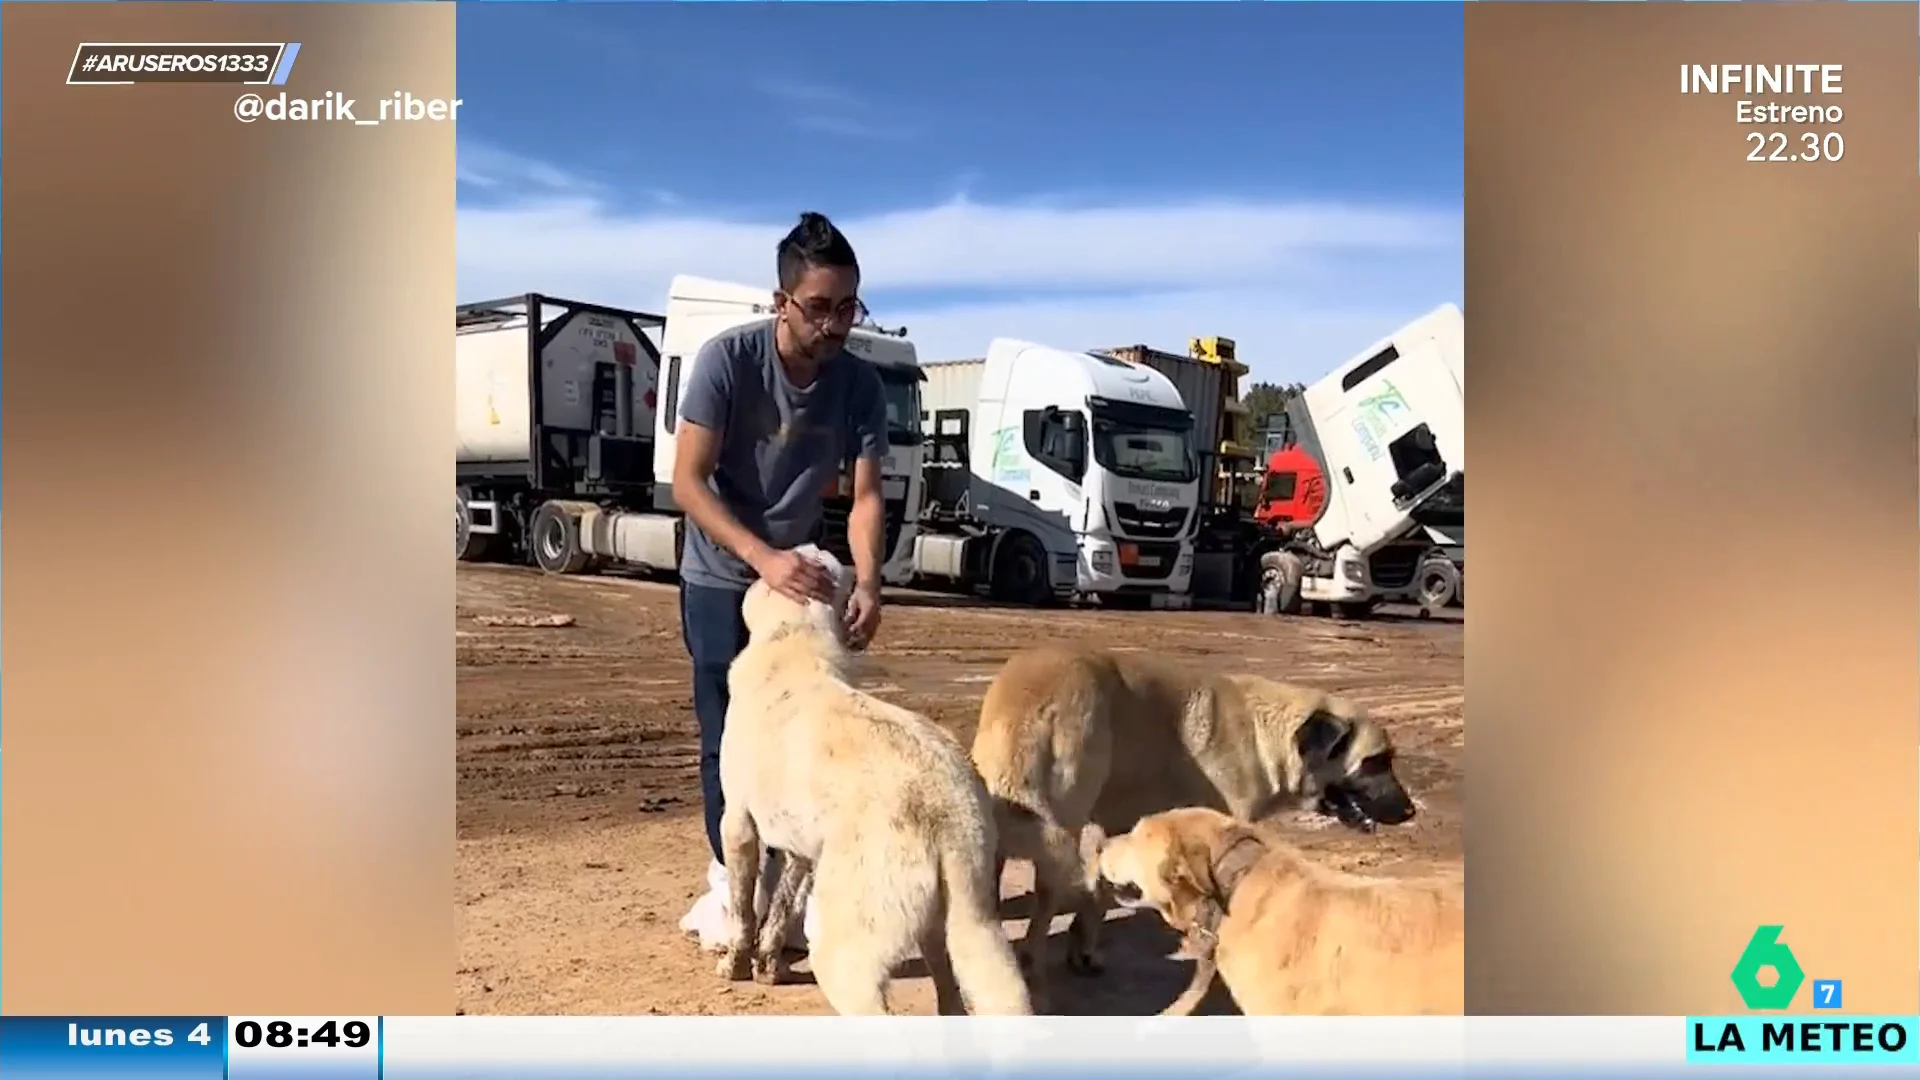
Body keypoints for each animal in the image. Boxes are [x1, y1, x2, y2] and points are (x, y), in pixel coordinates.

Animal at [714, 549, 1029, 1014]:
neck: (794, 642)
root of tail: (951, 814)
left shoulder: (737, 823)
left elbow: (744, 909)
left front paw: (735, 965)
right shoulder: (800, 848)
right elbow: (781, 907)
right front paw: (768, 964)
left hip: (845, 947)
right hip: (961, 921)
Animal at [975, 638, 1413, 999]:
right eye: (1375, 762)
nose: (1410, 811)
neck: (1266, 734)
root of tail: (1026, 700)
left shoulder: (1114, 829)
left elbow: (1098, 892)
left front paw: (1083, 953)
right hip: (1058, 829)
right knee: (1043, 905)